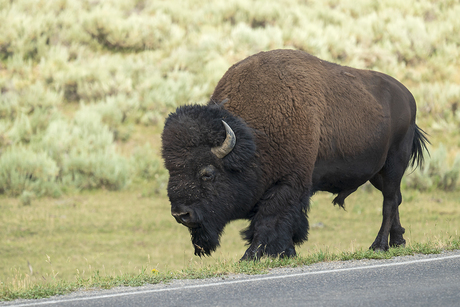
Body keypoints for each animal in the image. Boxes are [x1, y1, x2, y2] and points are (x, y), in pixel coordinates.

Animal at [161, 49, 428, 262]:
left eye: (207, 173)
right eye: (171, 169)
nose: (181, 214)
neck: (253, 138)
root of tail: (407, 96)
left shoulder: (289, 184)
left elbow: (269, 219)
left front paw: (250, 256)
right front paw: (285, 253)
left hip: (394, 163)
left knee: (389, 202)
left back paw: (379, 246)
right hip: (378, 174)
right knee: (395, 199)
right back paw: (398, 241)